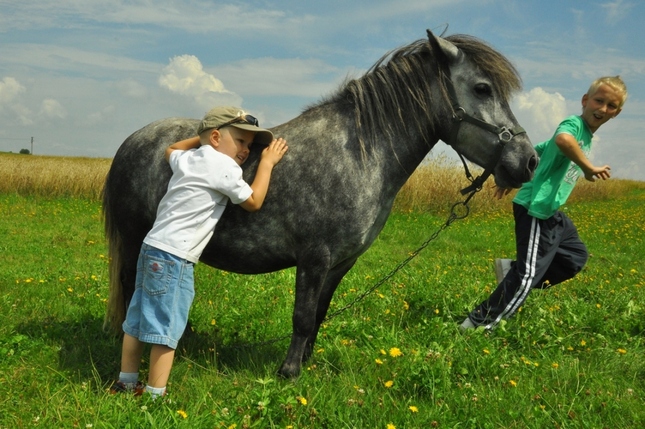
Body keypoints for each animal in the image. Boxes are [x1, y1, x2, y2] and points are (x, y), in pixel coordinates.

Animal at [104, 30, 540, 376]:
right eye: (482, 88)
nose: (528, 161)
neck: (360, 154)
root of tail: (132, 142)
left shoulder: (341, 263)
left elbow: (318, 315)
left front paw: (307, 363)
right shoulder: (314, 258)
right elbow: (301, 316)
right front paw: (289, 371)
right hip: (134, 240)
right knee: (130, 287)